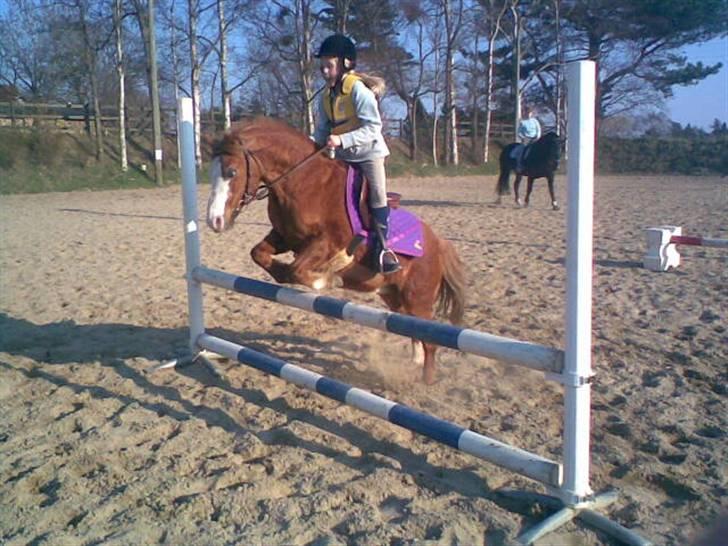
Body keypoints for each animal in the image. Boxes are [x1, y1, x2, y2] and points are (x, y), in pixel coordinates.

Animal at [206, 118, 467, 384]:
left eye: (232, 172)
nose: (214, 221)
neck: (303, 182)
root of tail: (438, 244)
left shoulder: (327, 243)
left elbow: (296, 270)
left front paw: (329, 278)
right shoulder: (284, 237)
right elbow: (261, 256)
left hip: (418, 298)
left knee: (430, 339)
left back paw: (426, 380)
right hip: (395, 297)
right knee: (413, 329)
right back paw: (415, 361)